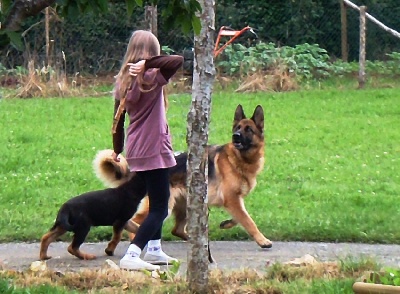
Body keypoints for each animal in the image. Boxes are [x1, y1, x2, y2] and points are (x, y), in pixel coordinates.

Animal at [94, 104, 272, 249]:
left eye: (248, 129)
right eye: (238, 128)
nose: (236, 136)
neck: (240, 159)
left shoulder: (233, 200)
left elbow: (242, 216)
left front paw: (226, 223)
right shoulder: (231, 199)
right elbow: (249, 221)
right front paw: (262, 240)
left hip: (187, 204)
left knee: (176, 229)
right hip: (164, 205)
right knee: (138, 220)